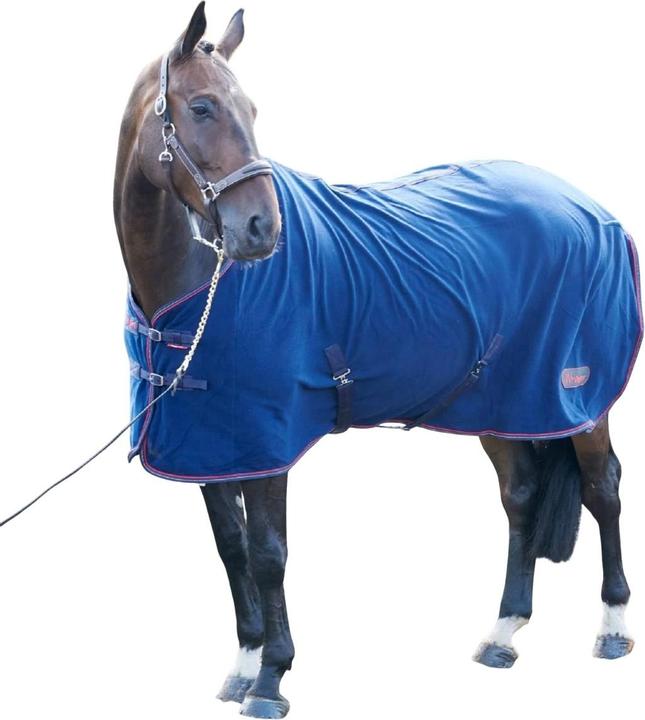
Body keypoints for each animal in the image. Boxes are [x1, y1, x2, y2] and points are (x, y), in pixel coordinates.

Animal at [113, 4, 642, 718]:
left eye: (252, 109)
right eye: (201, 107)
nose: (262, 230)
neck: (195, 290)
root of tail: (593, 210)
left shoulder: (266, 443)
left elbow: (269, 553)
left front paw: (272, 678)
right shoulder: (212, 445)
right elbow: (231, 550)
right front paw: (244, 664)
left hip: (577, 398)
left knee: (602, 489)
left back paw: (612, 627)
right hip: (499, 402)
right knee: (522, 497)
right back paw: (503, 632)